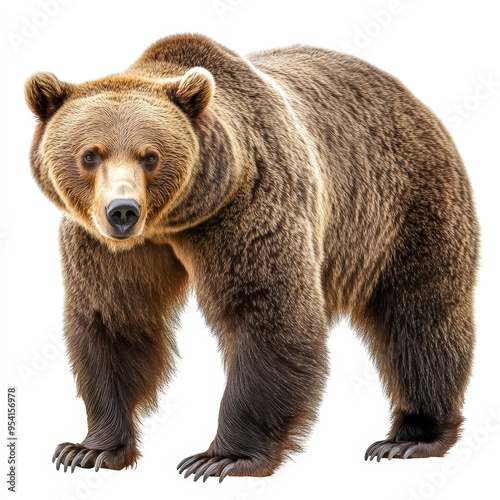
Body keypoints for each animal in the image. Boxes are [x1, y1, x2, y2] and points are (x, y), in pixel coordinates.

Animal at [25, 34, 478, 480]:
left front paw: (221, 458)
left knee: (420, 317)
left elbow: (267, 313)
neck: (174, 221)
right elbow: (114, 319)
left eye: (150, 155)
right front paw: (89, 449)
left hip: (403, 209)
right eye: (90, 154)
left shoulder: (250, 208)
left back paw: (410, 437)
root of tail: (412, 98)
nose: (122, 210)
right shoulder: (104, 245)